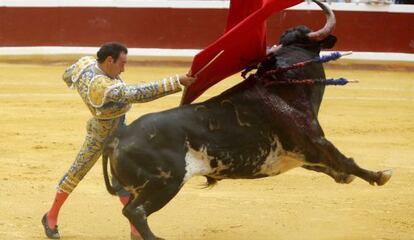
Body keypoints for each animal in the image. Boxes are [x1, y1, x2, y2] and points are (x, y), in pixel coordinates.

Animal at [101, 0, 392, 239]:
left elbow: (334, 166)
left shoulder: (304, 155)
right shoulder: (315, 141)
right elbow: (345, 159)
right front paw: (380, 175)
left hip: (145, 185)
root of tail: (118, 138)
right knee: (136, 212)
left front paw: (349, 177)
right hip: (166, 181)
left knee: (132, 213)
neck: (283, 82)